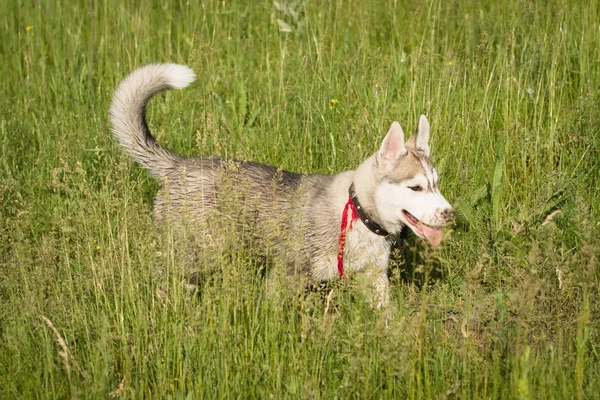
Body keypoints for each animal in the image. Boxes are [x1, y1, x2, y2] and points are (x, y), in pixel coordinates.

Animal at [109, 63, 454, 306]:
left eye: (436, 184)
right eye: (416, 188)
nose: (450, 214)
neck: (358, 213)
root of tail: (178, 165)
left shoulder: (374, 280)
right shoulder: (286, 275)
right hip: (193, 255)